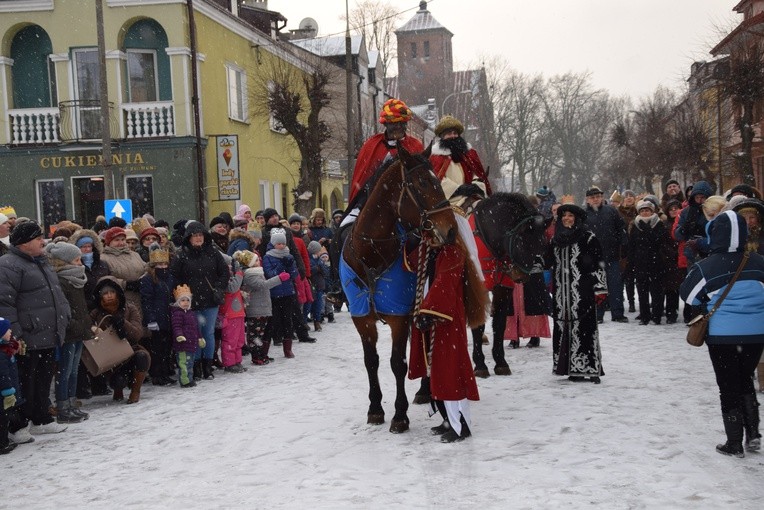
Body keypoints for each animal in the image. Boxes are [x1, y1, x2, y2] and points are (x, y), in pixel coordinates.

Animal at [340, 144, 460, 434]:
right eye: (423, 182)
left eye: (438, 181)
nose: (450, 230)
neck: (371, 254)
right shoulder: (362, 318)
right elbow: (371, 361)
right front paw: (375, 408)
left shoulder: (399, 317)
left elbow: (398, 363)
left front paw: (400, 414)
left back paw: (426, 390)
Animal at [468, 193, 548, 376]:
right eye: (524, 243)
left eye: (542, 243)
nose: (522, 275)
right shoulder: (478, 288)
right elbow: (479, 325)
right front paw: (480, 364)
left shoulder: (503, 288)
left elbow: (499, 323)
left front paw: (500, 361)